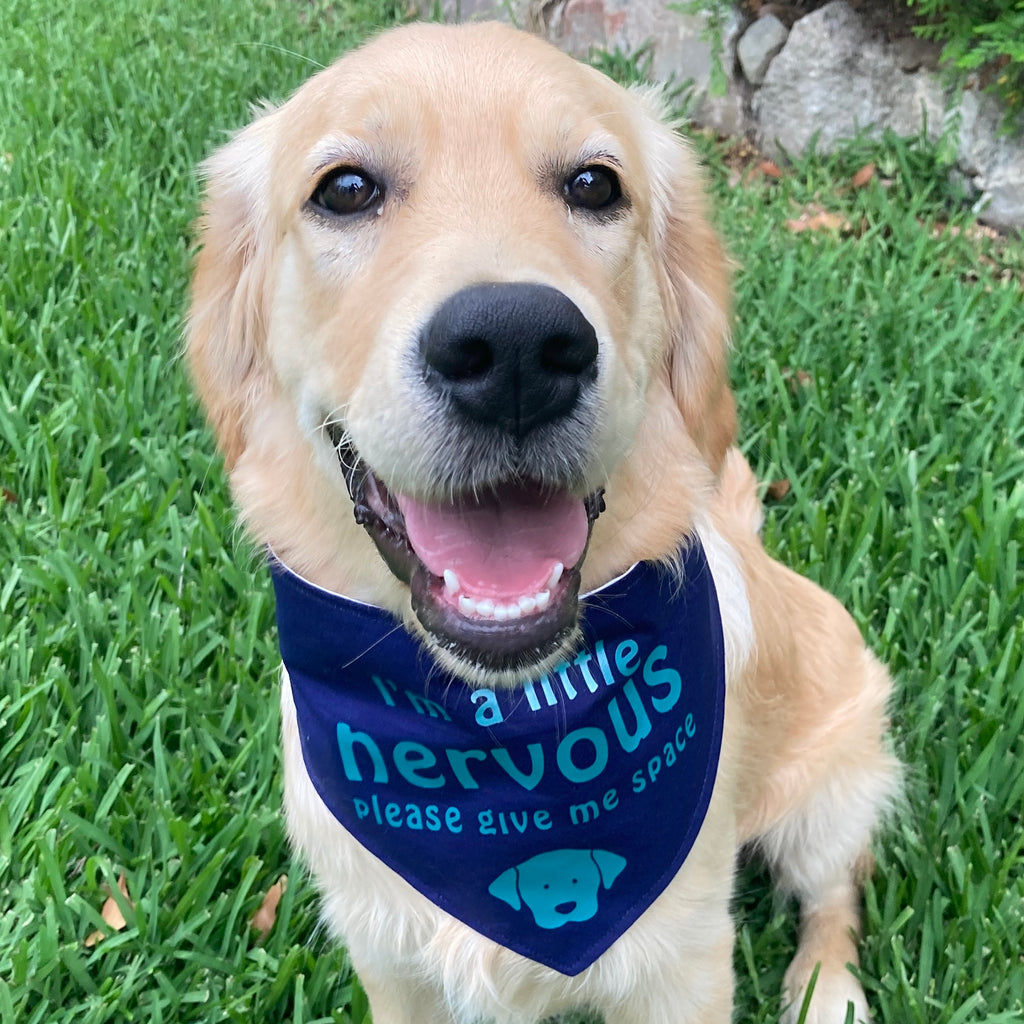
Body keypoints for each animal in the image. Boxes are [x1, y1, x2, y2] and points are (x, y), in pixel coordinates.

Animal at [184, 22, 897, 1024]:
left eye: (594, 184)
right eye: (346, 189)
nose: (516, 347)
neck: (493, 724)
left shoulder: (684, 963)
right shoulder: (388, 958)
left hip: (832, 783)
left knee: (834, 891)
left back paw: (826, 990)